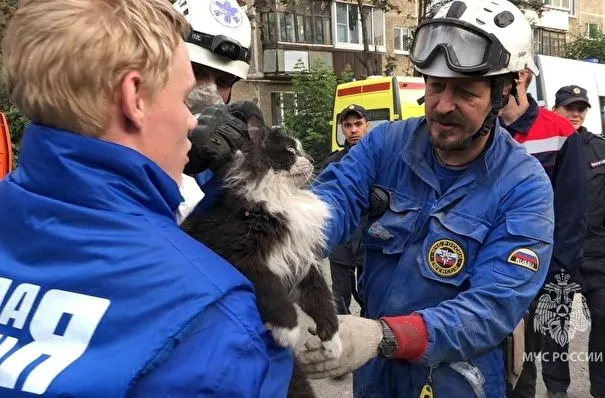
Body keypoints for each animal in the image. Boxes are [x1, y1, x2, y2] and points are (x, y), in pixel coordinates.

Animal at [180, 126, 340, 396]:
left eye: (301, 149)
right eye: (290, 150)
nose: (310, 159)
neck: (284, 197)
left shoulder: (302, 260)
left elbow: (322, 300)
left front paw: (333, 341)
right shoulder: (242, 258)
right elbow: (274, 293)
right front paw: (288, 332)